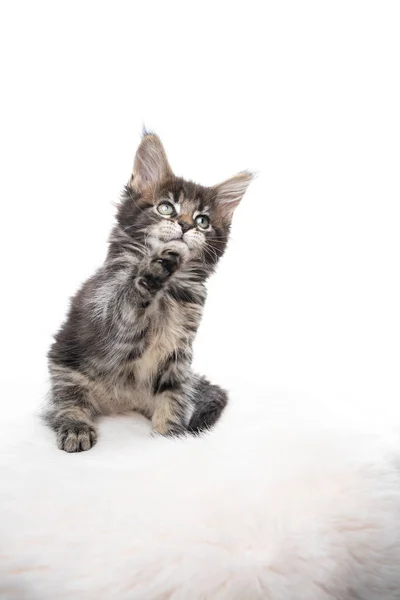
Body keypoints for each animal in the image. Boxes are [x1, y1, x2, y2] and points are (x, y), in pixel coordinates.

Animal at [44, 131, 253, 450]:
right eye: (166, 208)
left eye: (203, 221)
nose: (185, 225)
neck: (169, 292)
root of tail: (120, 404)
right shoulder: (107, 314)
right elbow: (127, 301)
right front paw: (154, 267)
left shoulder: (178, 356)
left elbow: (174, 398)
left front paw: (169, 437)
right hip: (65, 361)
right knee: (67, 400)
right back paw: (75, 427)